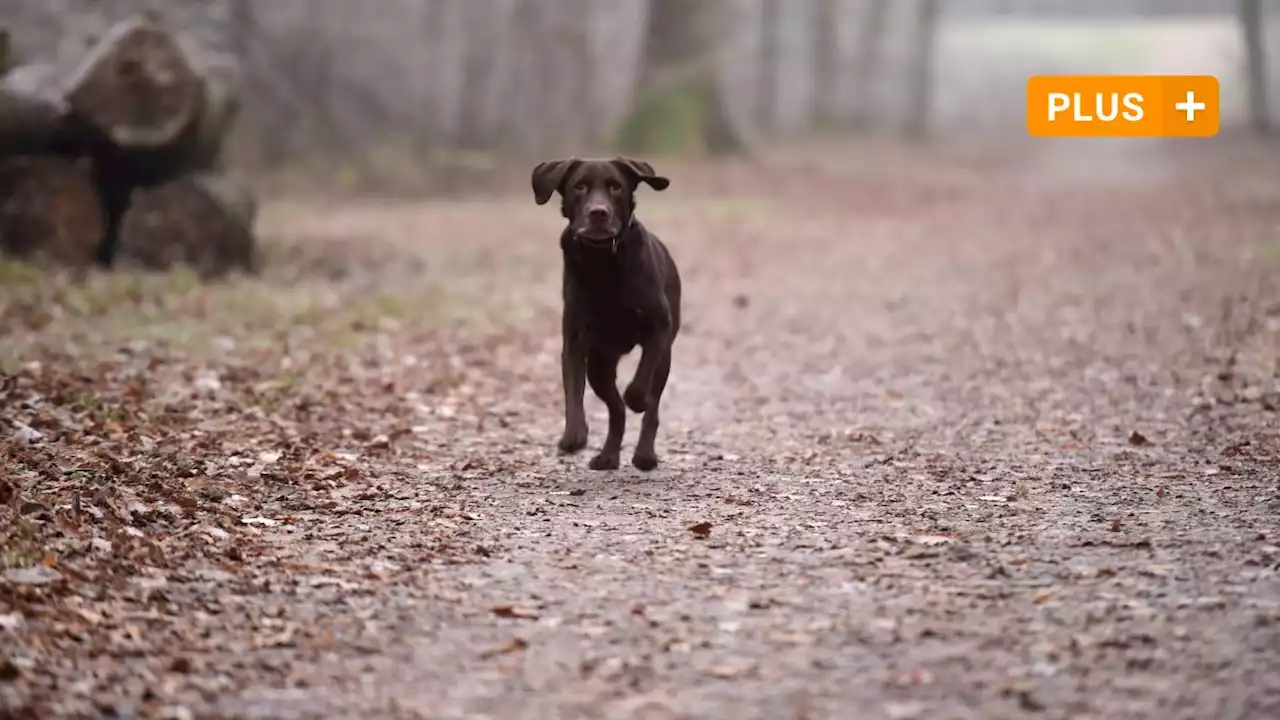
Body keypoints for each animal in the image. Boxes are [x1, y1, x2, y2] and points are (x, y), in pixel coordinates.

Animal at [529, 155, 680, 471]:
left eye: (616, 187)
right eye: (579, 186)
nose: (598, 212)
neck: (602, 262)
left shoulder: (658, 328)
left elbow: (642, 377)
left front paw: (637, 397)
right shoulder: (574, 341)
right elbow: (573, 390)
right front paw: (573, 435)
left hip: (665, 359)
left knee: (652, 406)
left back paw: (644, 454)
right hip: (599, 365)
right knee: (616, 410)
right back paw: (608, 456)